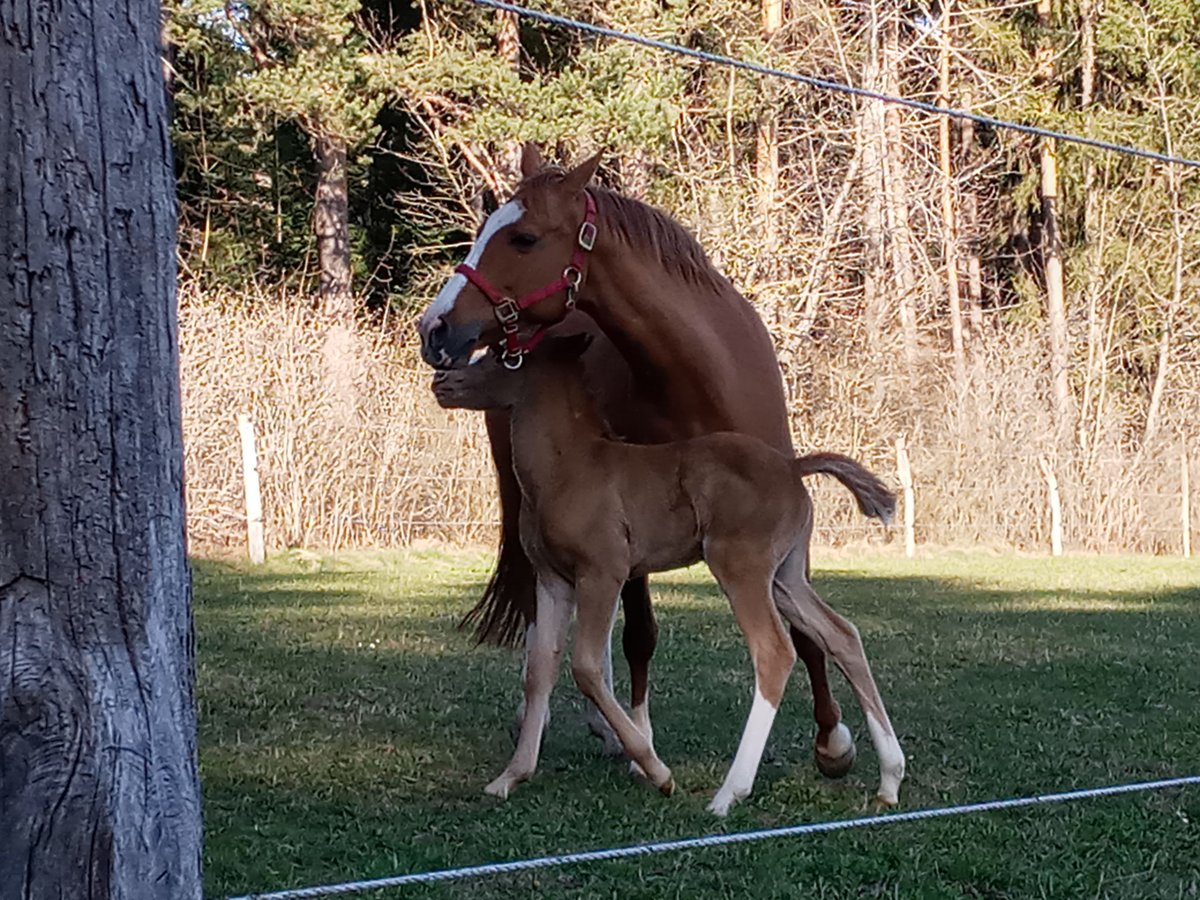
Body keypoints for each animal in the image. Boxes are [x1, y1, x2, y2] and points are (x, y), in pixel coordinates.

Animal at [436, 338, 902, 816]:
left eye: (506, 357)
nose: (442, 381)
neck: (566, 468)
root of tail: (794, 467)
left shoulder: (602, 572)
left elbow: (586, 667)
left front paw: (655, 770)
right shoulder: (553, 580)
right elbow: (539, 668)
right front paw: (511, 776)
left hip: (741, 565)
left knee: (774, 651)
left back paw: (728, 793)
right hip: (785, 576)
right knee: (842, 635)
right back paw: (890, 779)